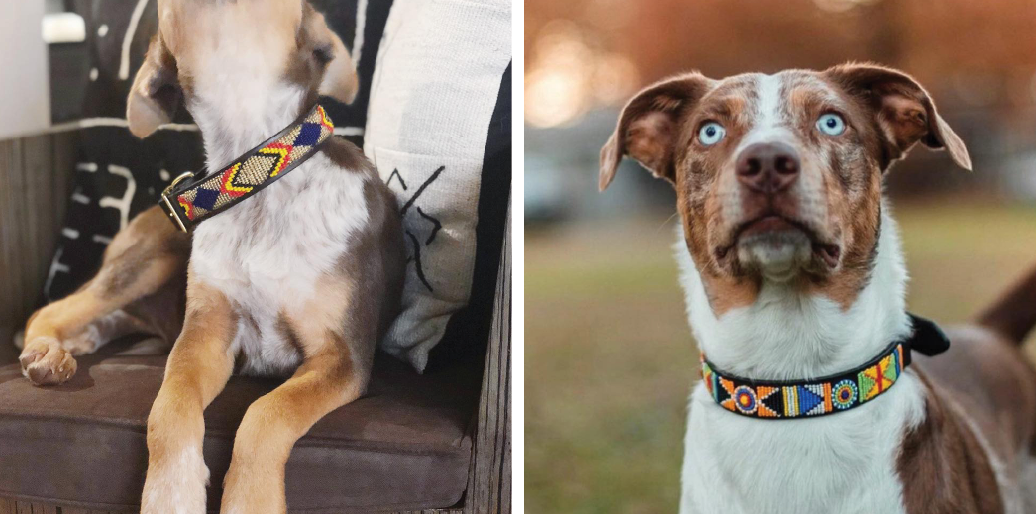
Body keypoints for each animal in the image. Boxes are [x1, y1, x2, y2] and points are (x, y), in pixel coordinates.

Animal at [17, 2, 404, 511]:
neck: (256, 175)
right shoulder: (206, 332)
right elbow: (169, 405)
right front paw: (171, 494)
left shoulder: (342, 355)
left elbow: (267, 412)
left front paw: (250, 501)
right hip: (152, 257)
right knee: (53, 310)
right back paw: (46, 353)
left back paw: (67, 351)